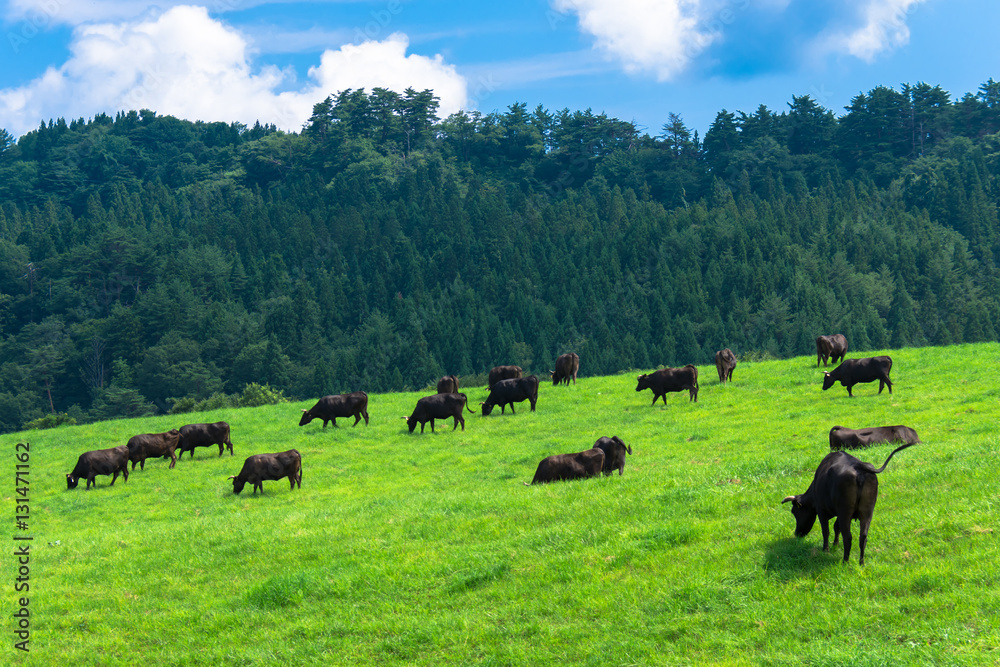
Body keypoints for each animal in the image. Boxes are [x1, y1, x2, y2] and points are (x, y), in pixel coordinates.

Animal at [780, 444, 916, 564]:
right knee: (863, 537)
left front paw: (826, 549)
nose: (797, 533)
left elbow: (826, 530)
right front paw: (835, 544)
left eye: (794, 511)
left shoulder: (822, 511)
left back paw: (845, 561)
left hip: (845, 511)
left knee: (848, 537)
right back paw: (861, 563)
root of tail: (858, 466)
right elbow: (836, 527)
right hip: (866, 511)